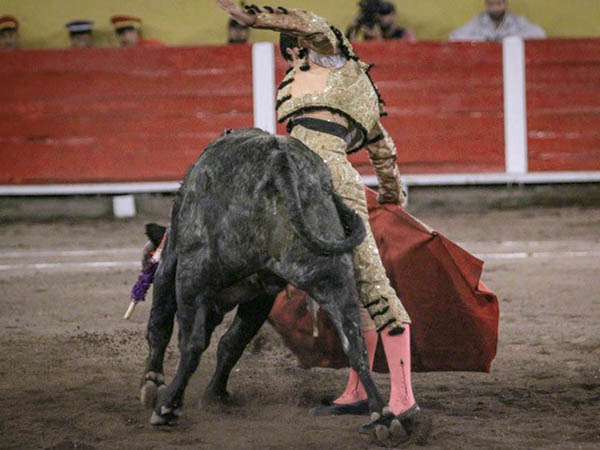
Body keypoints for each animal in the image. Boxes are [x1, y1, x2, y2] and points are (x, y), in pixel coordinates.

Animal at [139, 128, 392, 435]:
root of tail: (280, 162)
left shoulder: (171, 262)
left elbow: (161, 323)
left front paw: (152, 383)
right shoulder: (261, 296)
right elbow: (232, 343)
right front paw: (215, 394)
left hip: (194, 271)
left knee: (191, 342)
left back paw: (167, 406)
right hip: (329, 271)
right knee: (354, 340)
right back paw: (383, 416)